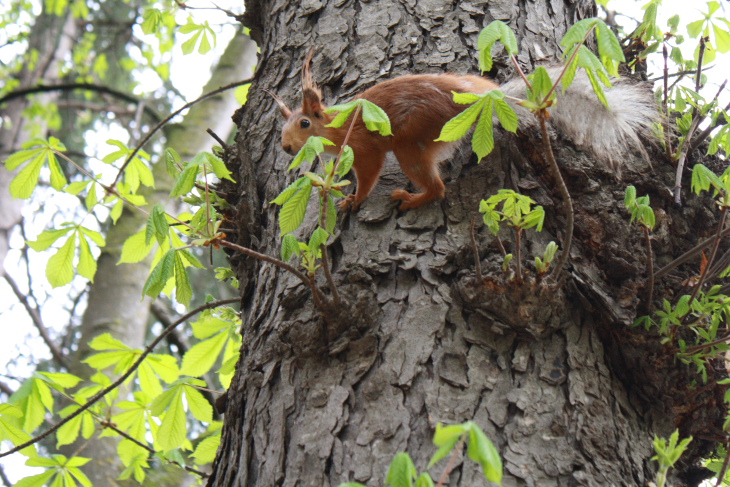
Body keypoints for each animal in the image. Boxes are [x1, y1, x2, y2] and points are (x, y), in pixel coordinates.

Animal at [266, 52, 656, 212]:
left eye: (304, 124)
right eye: (282, 128)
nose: (285, 148)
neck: (336, 127)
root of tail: (477, 102)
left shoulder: (364, 146)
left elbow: (368, 174)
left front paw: (354, 200)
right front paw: (330, 183)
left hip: (410, 144)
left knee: (436, 188)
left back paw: (412, 198)